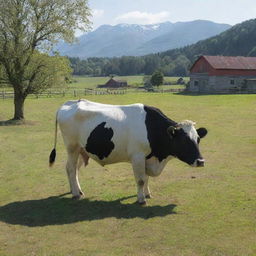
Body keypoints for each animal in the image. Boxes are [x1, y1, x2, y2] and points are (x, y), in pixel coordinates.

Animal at [49, 99, 207, 204]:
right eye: (184, 141)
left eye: (198, 139)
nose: (201, 161)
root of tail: (70, 102)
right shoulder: (137, 156)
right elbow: (141, 180)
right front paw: (141, 199)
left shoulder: (147, 158)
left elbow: (146, 178)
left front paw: (147, 194)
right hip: (72, 147)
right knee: (70, 168)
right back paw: (76, 194)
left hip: (83, 150)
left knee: (73, 169)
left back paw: (76, 190)